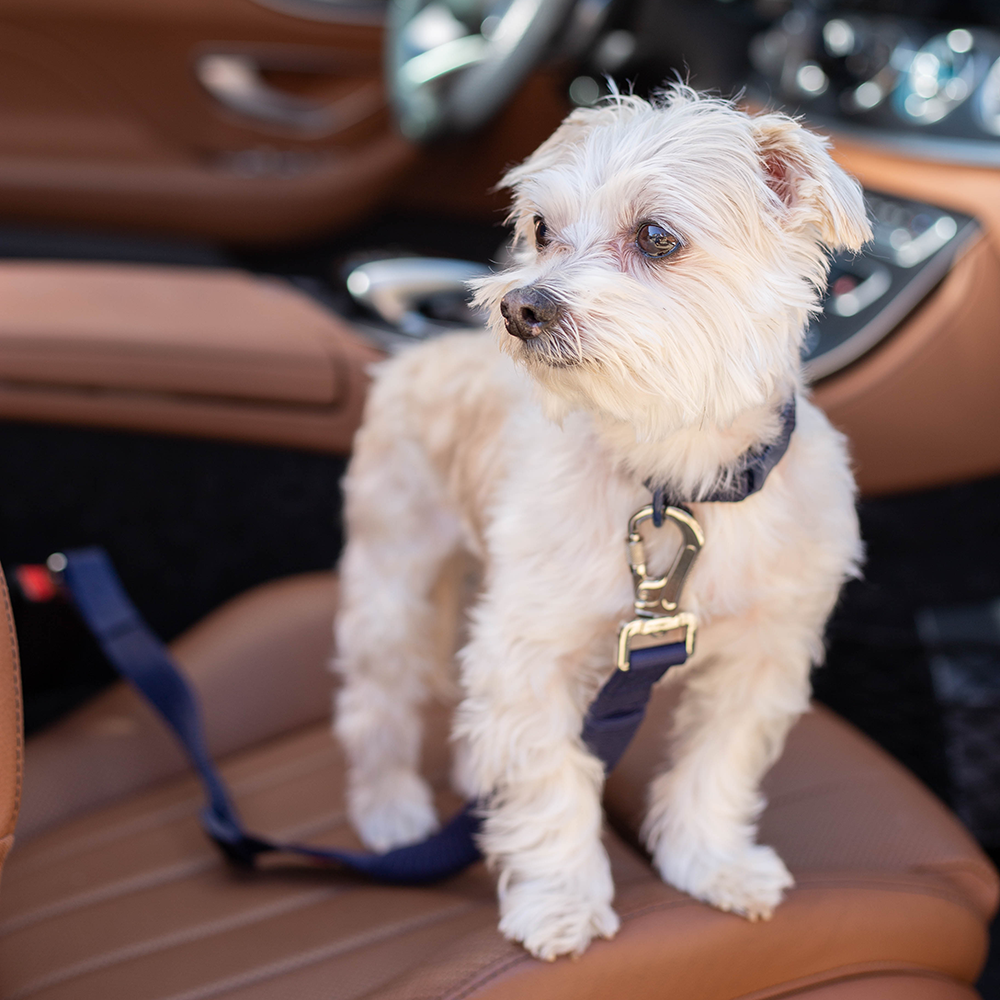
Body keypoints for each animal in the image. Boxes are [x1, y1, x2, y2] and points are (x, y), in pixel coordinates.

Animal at [332, 88, 872, 960]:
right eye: (541, 229)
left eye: (656, 237)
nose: (520, 305)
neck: (674, 478)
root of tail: (418, 352)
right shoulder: (528, 655)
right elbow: (552, 782)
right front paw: (560, 901)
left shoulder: (762, 656)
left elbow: (717, 767)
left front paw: (712, 862)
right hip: (393, 580)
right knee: (375, 702)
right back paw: (391, 809)